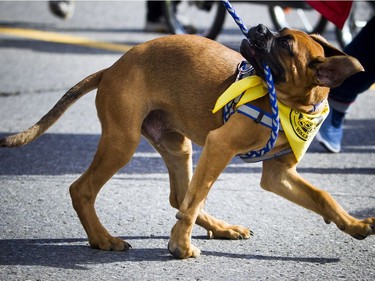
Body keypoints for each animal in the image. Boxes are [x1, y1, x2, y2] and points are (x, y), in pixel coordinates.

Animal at [0, 25, 374, 258]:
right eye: (279, 35)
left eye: (286, 44)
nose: (258, 27)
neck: (290, 105)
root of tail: (112, 68)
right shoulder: (220, 145)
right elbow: (194, 202)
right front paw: (179, 248)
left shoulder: (278, 175)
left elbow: (323, 196)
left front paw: (354, 225)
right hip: (123, 142)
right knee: (83, 189)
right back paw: (102, 239)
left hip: (177, 146)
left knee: (179, 195)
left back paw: (222, 228)